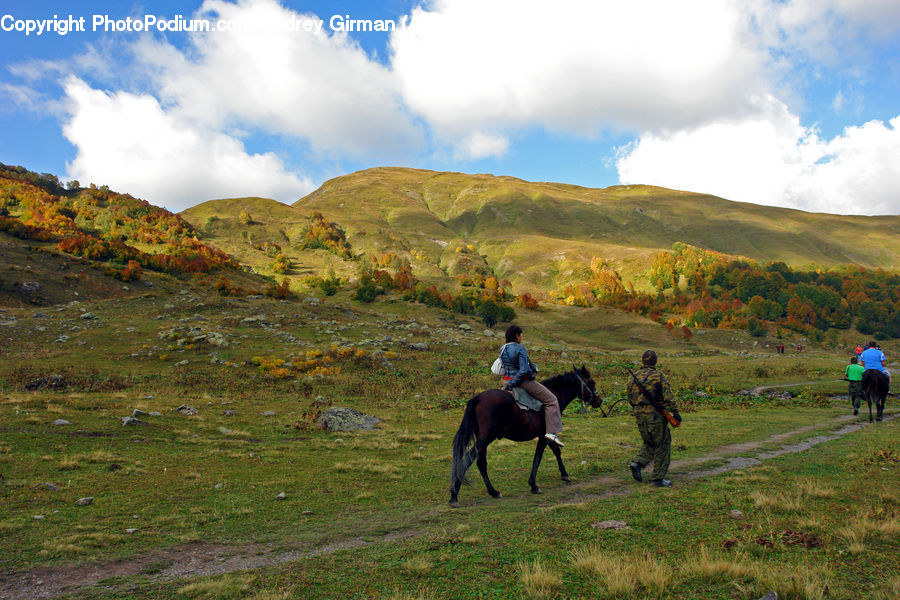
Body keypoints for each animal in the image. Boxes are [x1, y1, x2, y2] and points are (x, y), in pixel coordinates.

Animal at [448, 365, 602, 508]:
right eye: (592, 382)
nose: (599, 401)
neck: (555, 394)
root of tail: (478, 398)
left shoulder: (547, 435)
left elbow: (556, 451)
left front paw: (564, 474)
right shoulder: (543, 435)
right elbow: (538, 457)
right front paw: (534, 485)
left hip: (483, 440)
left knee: (481, 463)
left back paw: (493, 492)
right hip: (485, 438)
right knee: (467, 460)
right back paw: (454, 495)